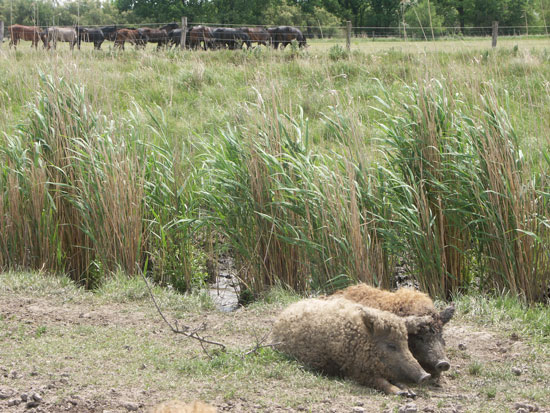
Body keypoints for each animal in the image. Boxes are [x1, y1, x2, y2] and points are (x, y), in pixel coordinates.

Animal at [274, 294, 434, 394]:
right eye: (391, 346)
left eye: (406, 344)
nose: (426, 376)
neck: (357, 340)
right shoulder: (353, 371)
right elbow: (379, 381)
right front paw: (401, 393)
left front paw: (410, 392)